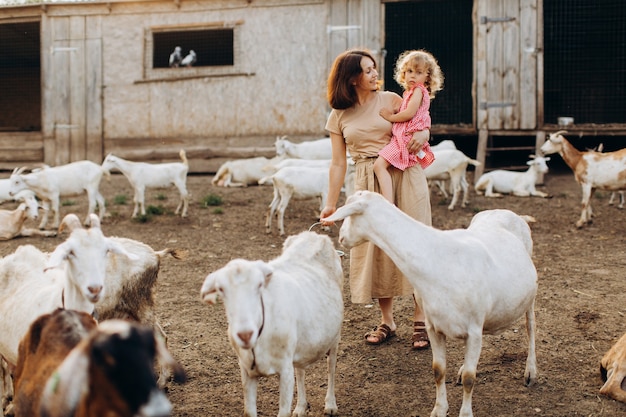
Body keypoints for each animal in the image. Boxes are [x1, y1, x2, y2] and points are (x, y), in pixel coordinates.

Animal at [201, 231, 342, 416]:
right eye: (221, 289)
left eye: (260, 285)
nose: (245, 334)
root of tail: (313, 234)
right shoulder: (246, 371)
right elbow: (249, 412)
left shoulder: (285, 371)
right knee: (301, 370)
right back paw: (300, 407)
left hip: (335, 336)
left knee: (331, 367)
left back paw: (330, 404)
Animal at [322, 191, 536, 416]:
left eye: (349, 213)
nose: (341, 237)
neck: (436, 259)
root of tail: (509, 212)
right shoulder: (435, 327)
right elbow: (438, 371)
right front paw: (439, 409)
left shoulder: (474, 329)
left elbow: (470, 378)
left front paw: (465, 412)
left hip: (529, 295)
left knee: (530, 327)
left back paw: (530, 372)